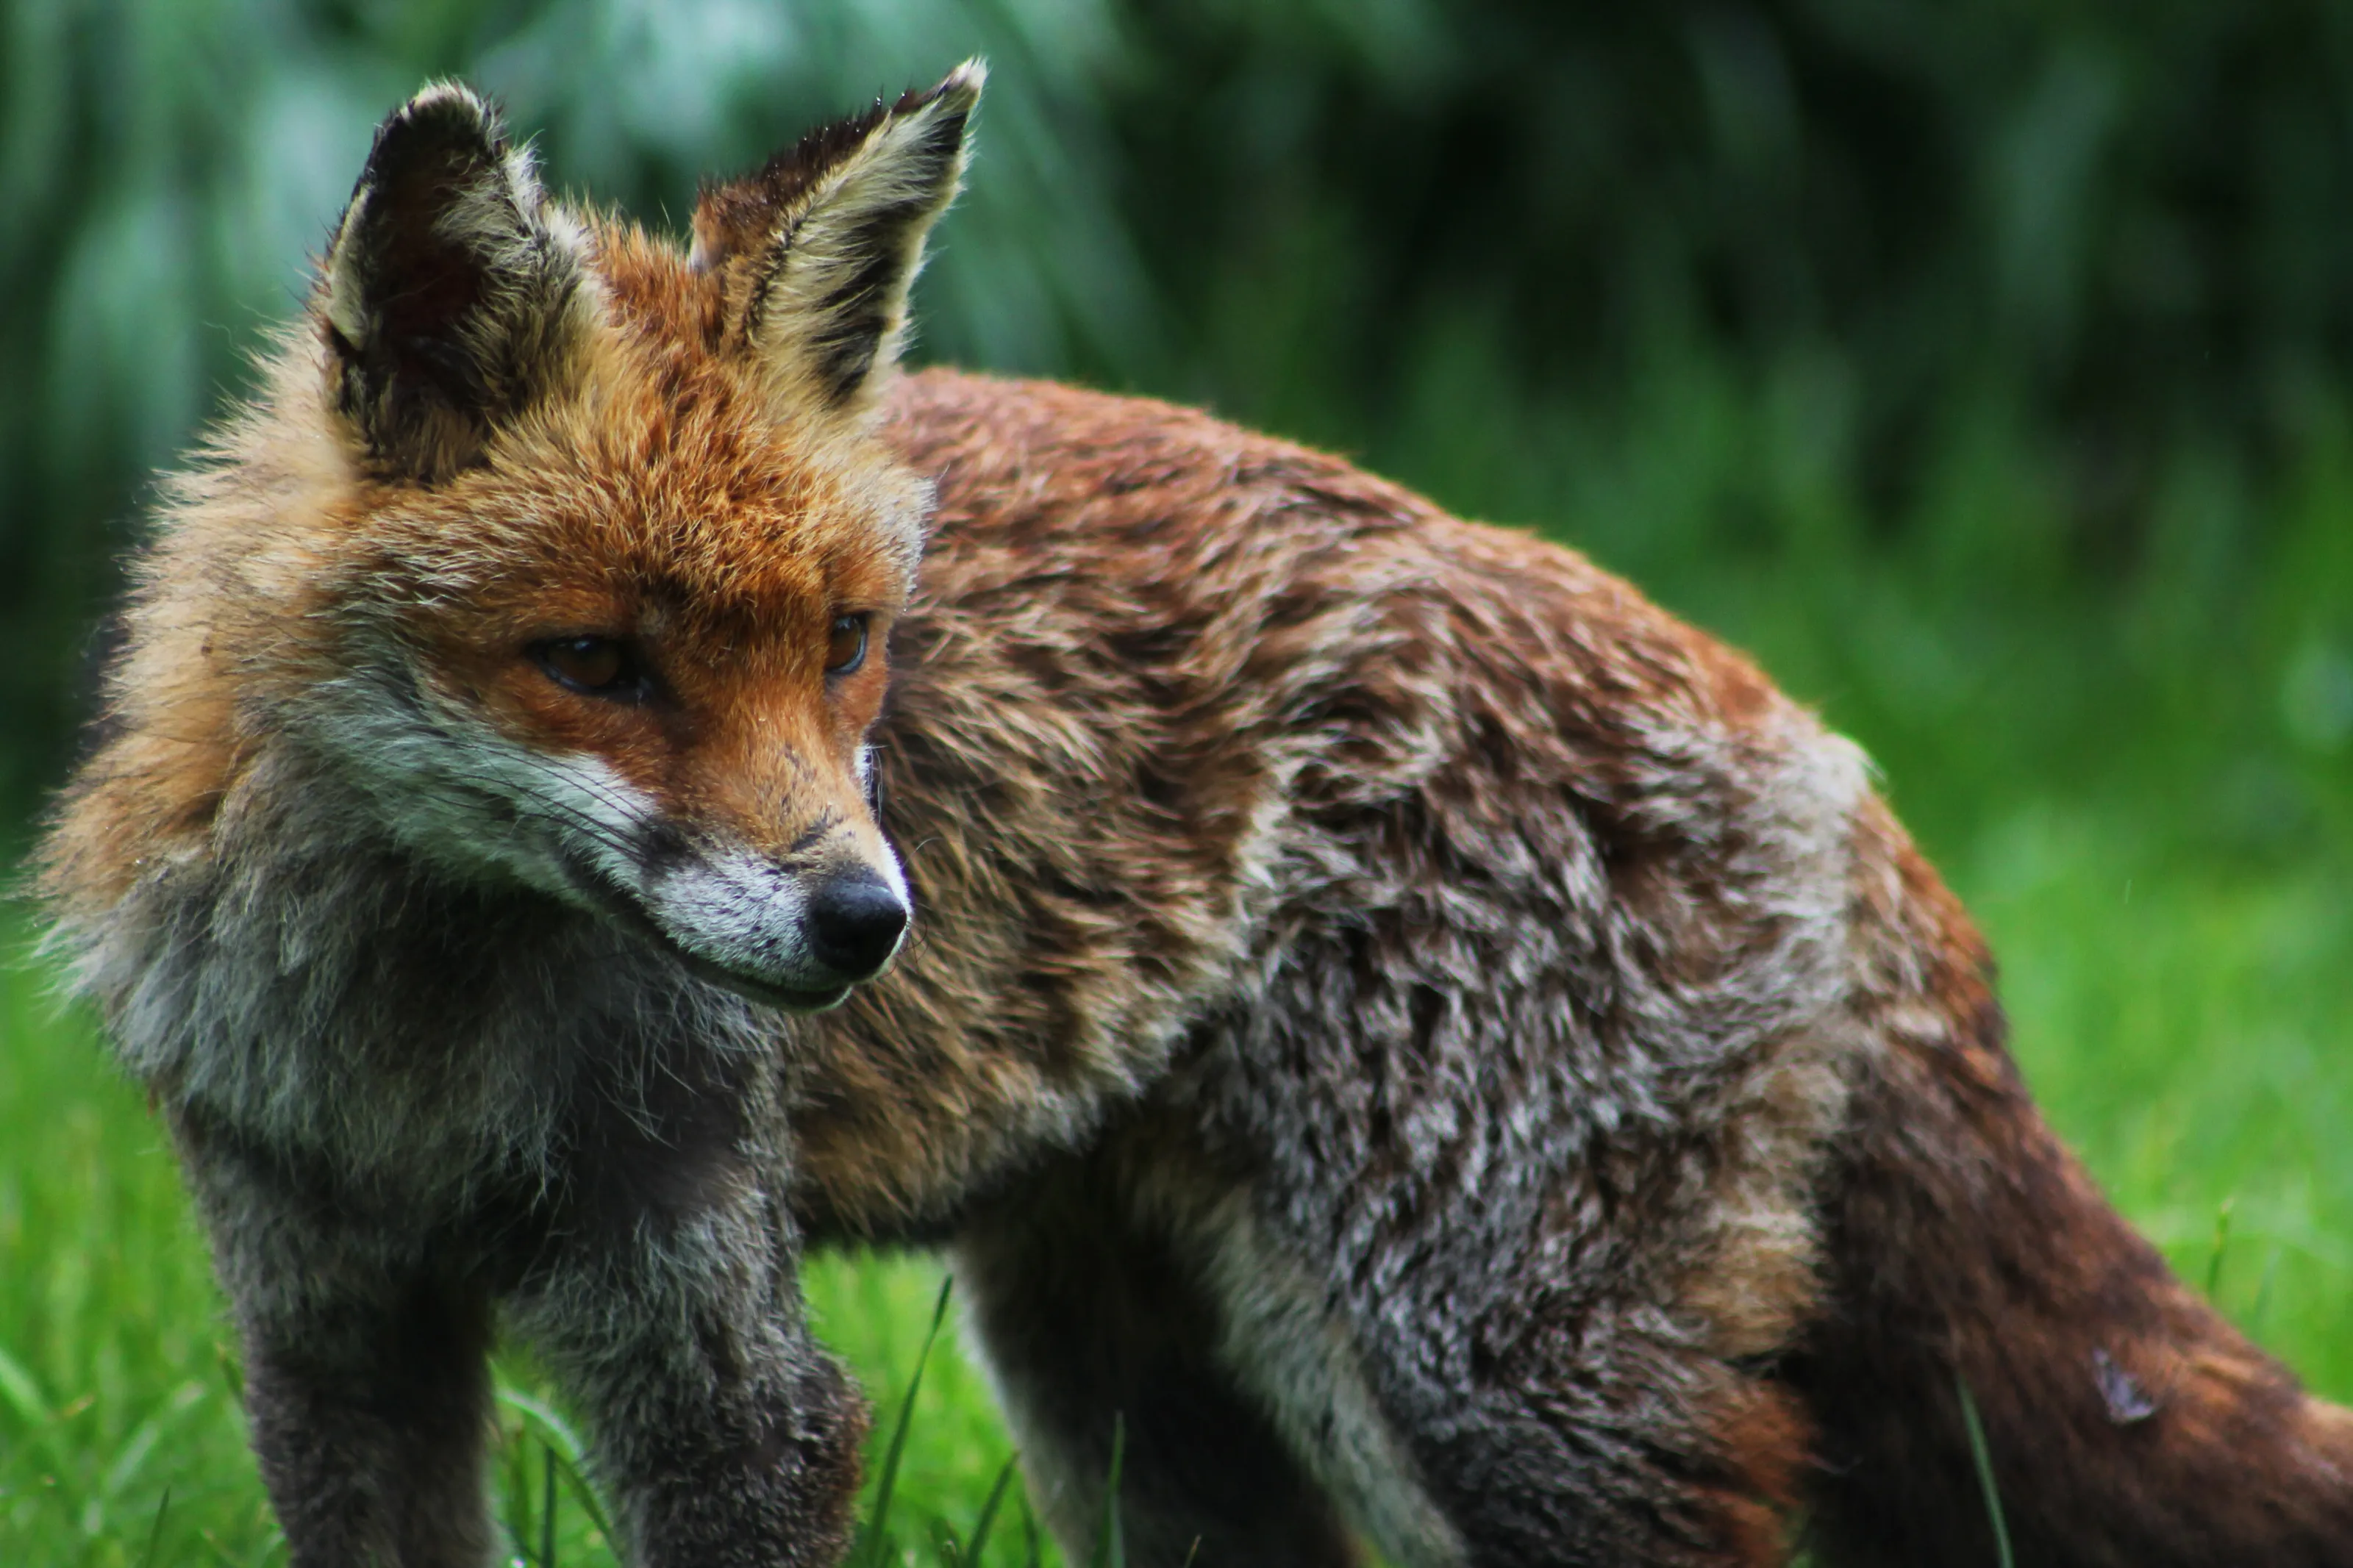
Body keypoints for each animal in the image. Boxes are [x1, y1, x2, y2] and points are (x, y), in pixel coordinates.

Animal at [33, 61, 2353, 1568]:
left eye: (853, 644)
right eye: (598, 661)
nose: (867, 923)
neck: (421, 1034)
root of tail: (1821, 735)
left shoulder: (713, 1345)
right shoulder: (330, 1320)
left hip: (1489, 1382)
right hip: (1139, 1393)